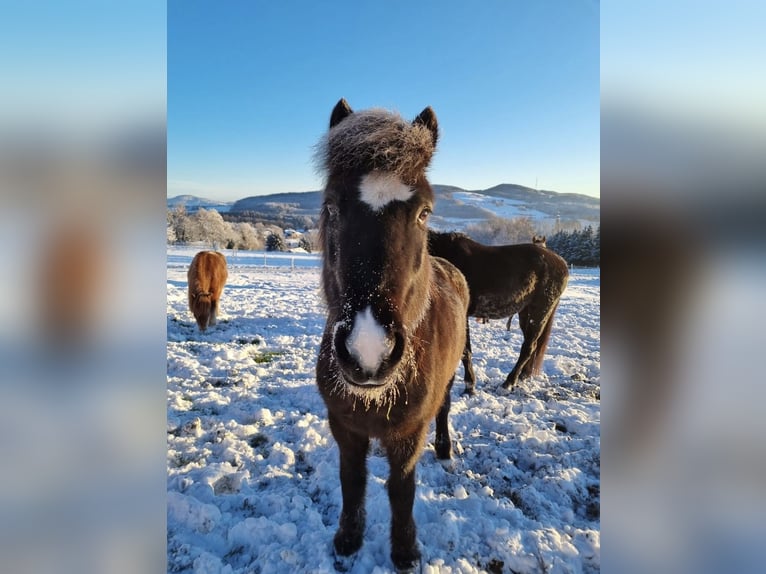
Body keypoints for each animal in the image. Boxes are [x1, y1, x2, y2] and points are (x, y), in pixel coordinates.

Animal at [315, 99, 469, 572]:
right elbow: (353, 479)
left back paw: (445, 449)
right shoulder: (344, 426)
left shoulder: (409, 433)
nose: (369, 350)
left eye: (424, 212)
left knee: (446, 409)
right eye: (332, 206)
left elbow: (402, 488)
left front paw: (404, 551)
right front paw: (348, 538)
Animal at [428, 231, 569, 393]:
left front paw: (469, 386)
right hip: (525, 313)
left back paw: (509, 382)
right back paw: (523, 376)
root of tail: (562, 263)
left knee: (529, 347)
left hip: (539, 312)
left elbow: (465, 351)